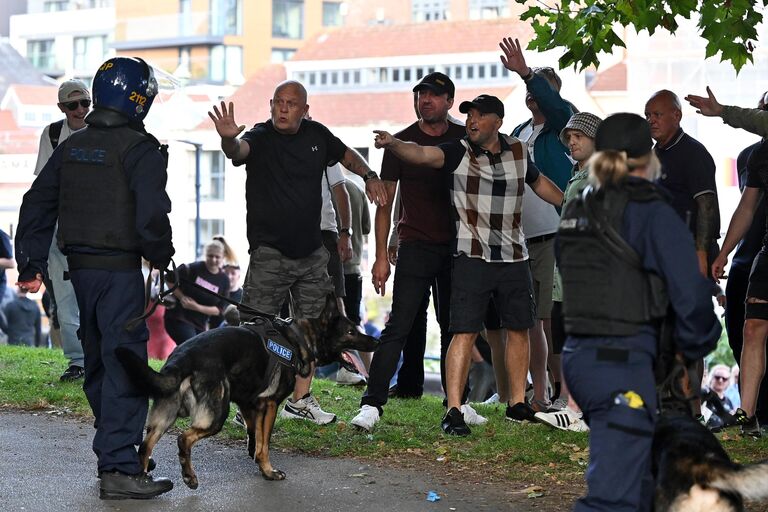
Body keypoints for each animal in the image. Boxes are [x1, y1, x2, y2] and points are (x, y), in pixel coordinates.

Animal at [115, 294, 376, 486]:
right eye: (351, 332)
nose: (376, 341)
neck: (298, 338)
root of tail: (182, 359)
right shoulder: (269, 405)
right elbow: (265, 442)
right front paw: (269, 471)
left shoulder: (250, 403)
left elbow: (254, 434)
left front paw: (256, 458)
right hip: (215, 416)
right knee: (183, 438)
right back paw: (189, 476)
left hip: (165, 417)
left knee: (145, 446)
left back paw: (143, 479)